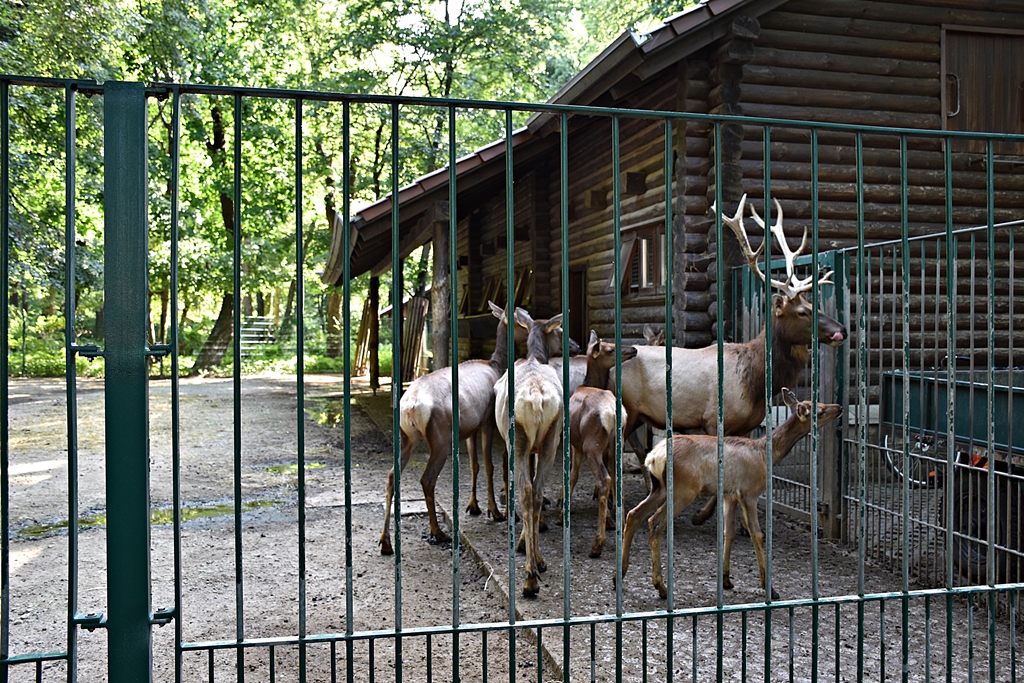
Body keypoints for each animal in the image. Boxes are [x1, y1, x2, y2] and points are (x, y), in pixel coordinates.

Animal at [379, 301, 522, 556]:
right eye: (521, 318)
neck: (497, 366)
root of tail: (410, 407)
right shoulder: (487, 419)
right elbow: (489, 465)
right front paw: (495, 512)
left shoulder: (470, 428)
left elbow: (475, 465)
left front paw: (474, 507)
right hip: (440, 438)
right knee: (427, 479)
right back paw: (437, 532)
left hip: (406, 437)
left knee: (392, 476)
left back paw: (385, 542)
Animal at [494, 309, 567, 597]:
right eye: (560, 332)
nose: (575, 346)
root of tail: (536, 398)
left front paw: (523, 543)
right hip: (551, 440)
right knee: (536, 493)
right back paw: (536, 564)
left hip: (519, 442)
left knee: (526, 493)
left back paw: (529, 577)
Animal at [562, 330, 638, 557]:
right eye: (611, 348)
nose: (634, 349)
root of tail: (612, 413)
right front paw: (611, 521)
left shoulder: (574, 443)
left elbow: (573, 475)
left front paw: (562, 513)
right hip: (615, 442)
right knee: (616, 478)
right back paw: (619, 524)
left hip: (591, 445)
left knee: (605, 479)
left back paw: (598, 543)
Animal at [611, 194, 848, 526]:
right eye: (803, 312)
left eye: (815, 304)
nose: (842, 331)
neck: (757, 381)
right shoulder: (713, 418)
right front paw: (701, 515)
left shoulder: (747, 424)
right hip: (627, 409)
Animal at [620, 388, 842, 601]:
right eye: (820, 411)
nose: (839, 407)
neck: (765, 455)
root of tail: (653, 457)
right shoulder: (749, 492)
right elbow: (757, 534)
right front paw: (770, 588)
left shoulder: (730, 495)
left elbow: (729, 532)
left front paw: (726, 580)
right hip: (683, 490)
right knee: (655, 522)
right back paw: (661, 587)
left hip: (659, 488)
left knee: (634, 514)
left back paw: (619, 576)